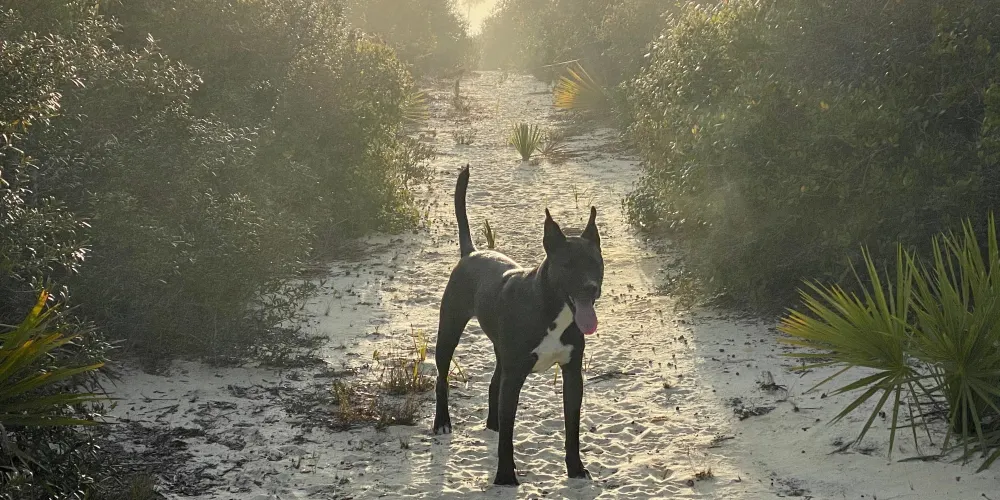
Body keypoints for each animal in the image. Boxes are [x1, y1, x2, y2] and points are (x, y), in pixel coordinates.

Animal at [432, 165, 603, 486]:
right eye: (567, 265)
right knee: (441, 378)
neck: (550, 306)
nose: (591, 288)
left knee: (493, 384)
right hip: (448, 331)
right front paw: (505, 475)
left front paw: (575, 468)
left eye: (595, 263)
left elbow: (571, 428)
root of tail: (471, 252)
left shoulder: (572, 375)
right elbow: (508, 439)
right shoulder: (515, 377)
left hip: (500, 351)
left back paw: (493, 422)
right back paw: (442, 422)